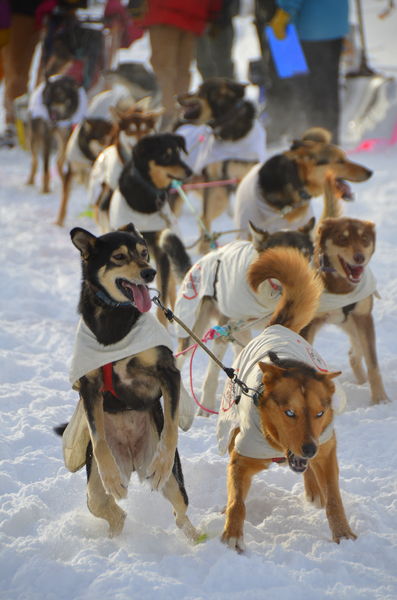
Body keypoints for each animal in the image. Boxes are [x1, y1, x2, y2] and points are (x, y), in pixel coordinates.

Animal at [220, 245, 356, 552]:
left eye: (319, 413)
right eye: (289, 413)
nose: (309, 449)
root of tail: (275, 328)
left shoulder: (326, 448)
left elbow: (334, 497)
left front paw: (343, 534)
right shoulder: (241, 457)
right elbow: (237, 500)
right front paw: (232, 534)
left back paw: (313, 489)